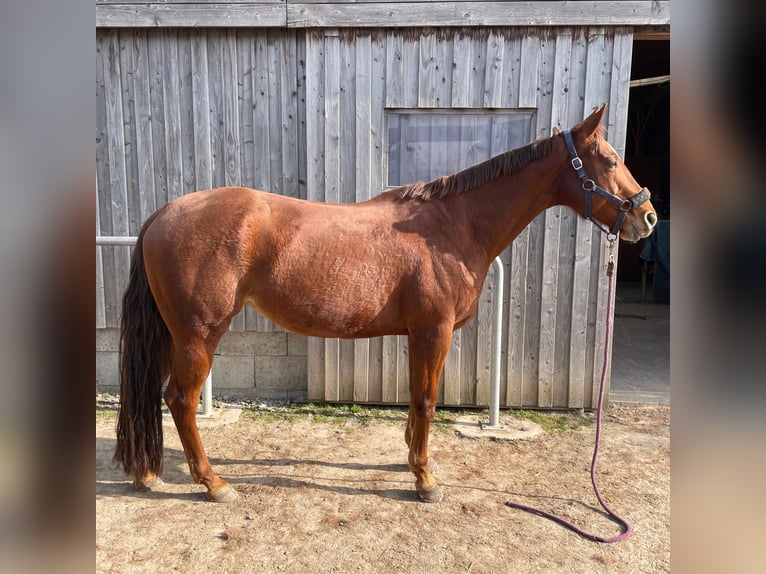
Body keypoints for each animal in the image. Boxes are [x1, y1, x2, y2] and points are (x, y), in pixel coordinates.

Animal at [114, 105, 656, 503]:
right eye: (610, 160)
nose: (648, 216)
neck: (453, 226)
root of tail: (163, 213)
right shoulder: (433, 330)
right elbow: (427, 400)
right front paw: (425, 480)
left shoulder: (420, 334)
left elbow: (417, 401)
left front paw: (413, 460)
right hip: (198, 334)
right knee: (180, 401)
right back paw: (214, 484)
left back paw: (149, 474)